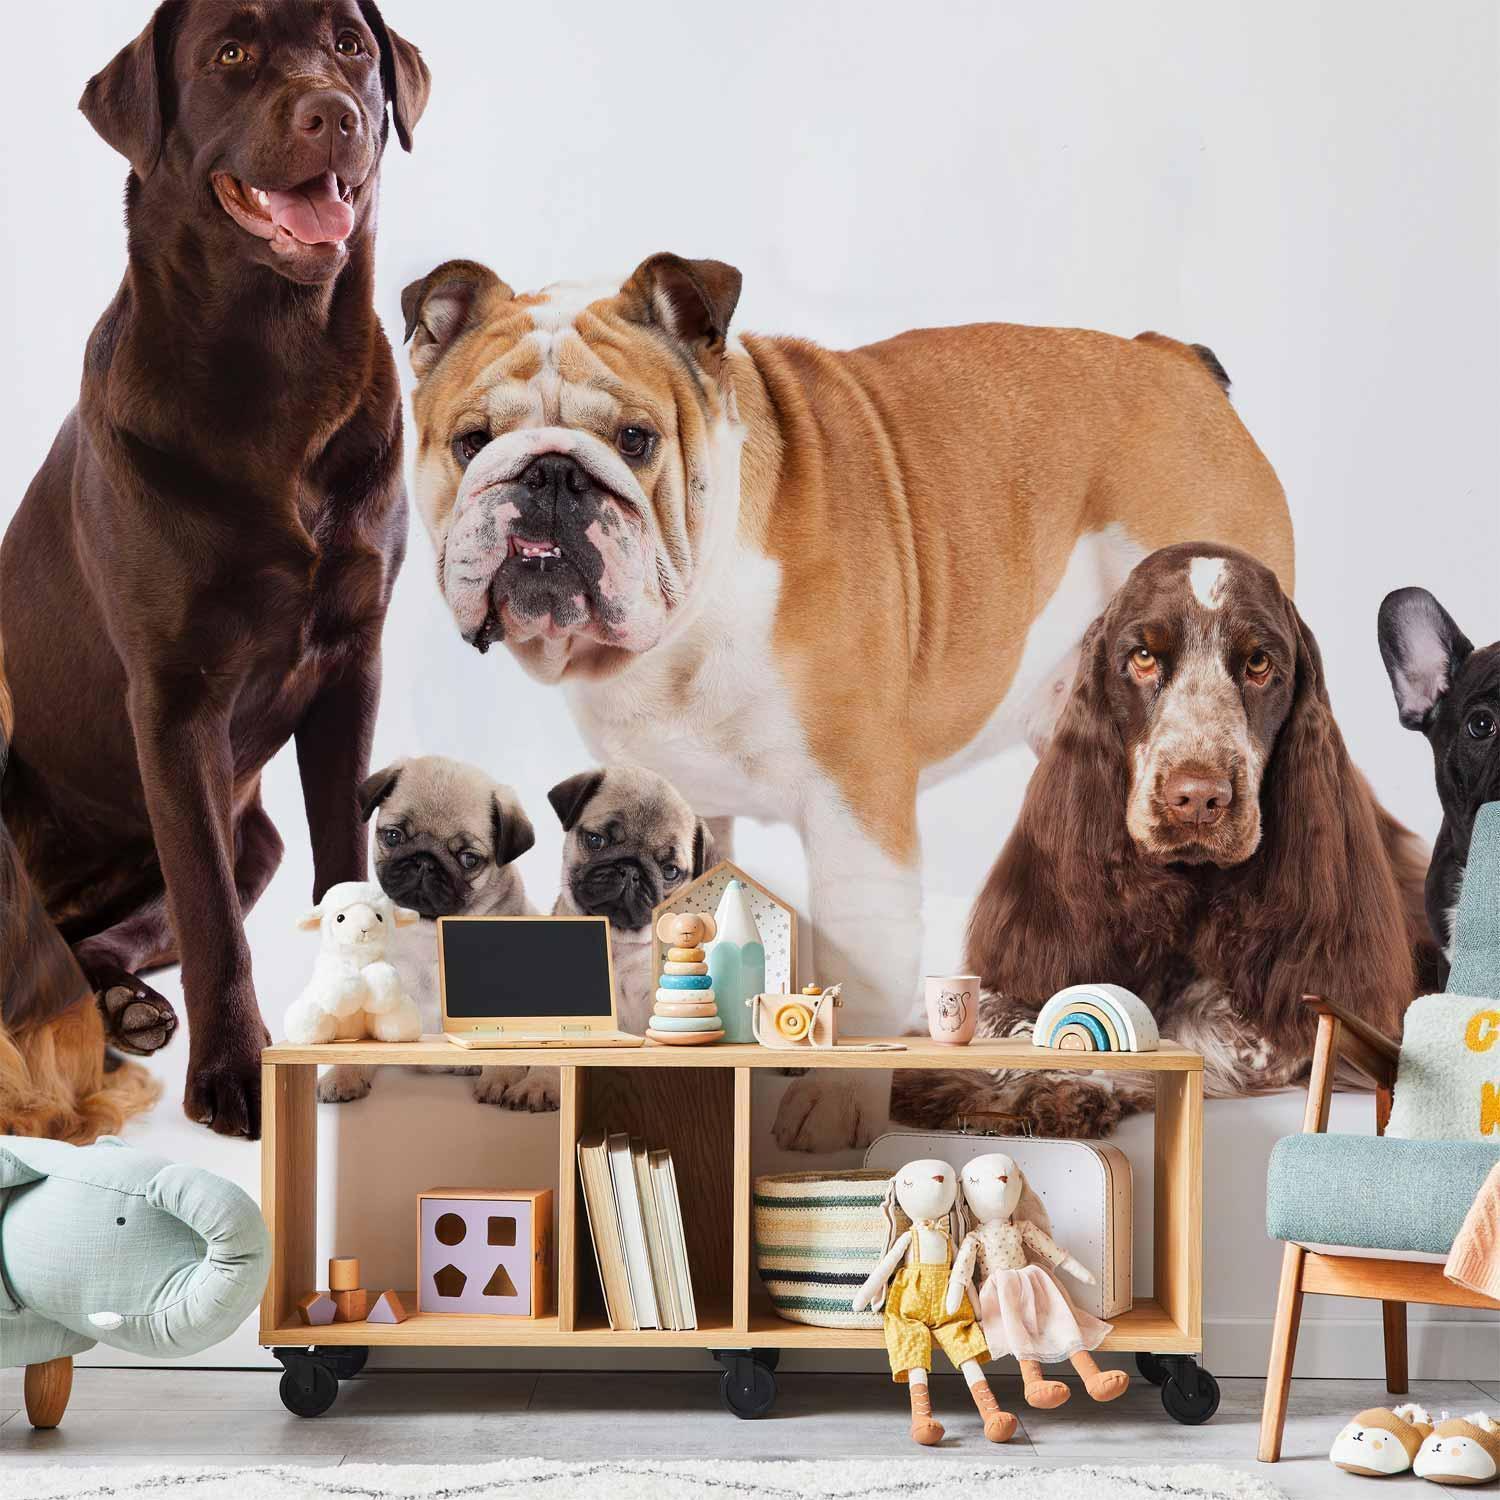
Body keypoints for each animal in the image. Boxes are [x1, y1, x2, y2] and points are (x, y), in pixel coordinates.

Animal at [316, 756, 540, 1110]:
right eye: (393, 836)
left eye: (468, 859)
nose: (424, 861)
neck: (429, 929)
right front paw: (343, 1075)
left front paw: (501, 1078)